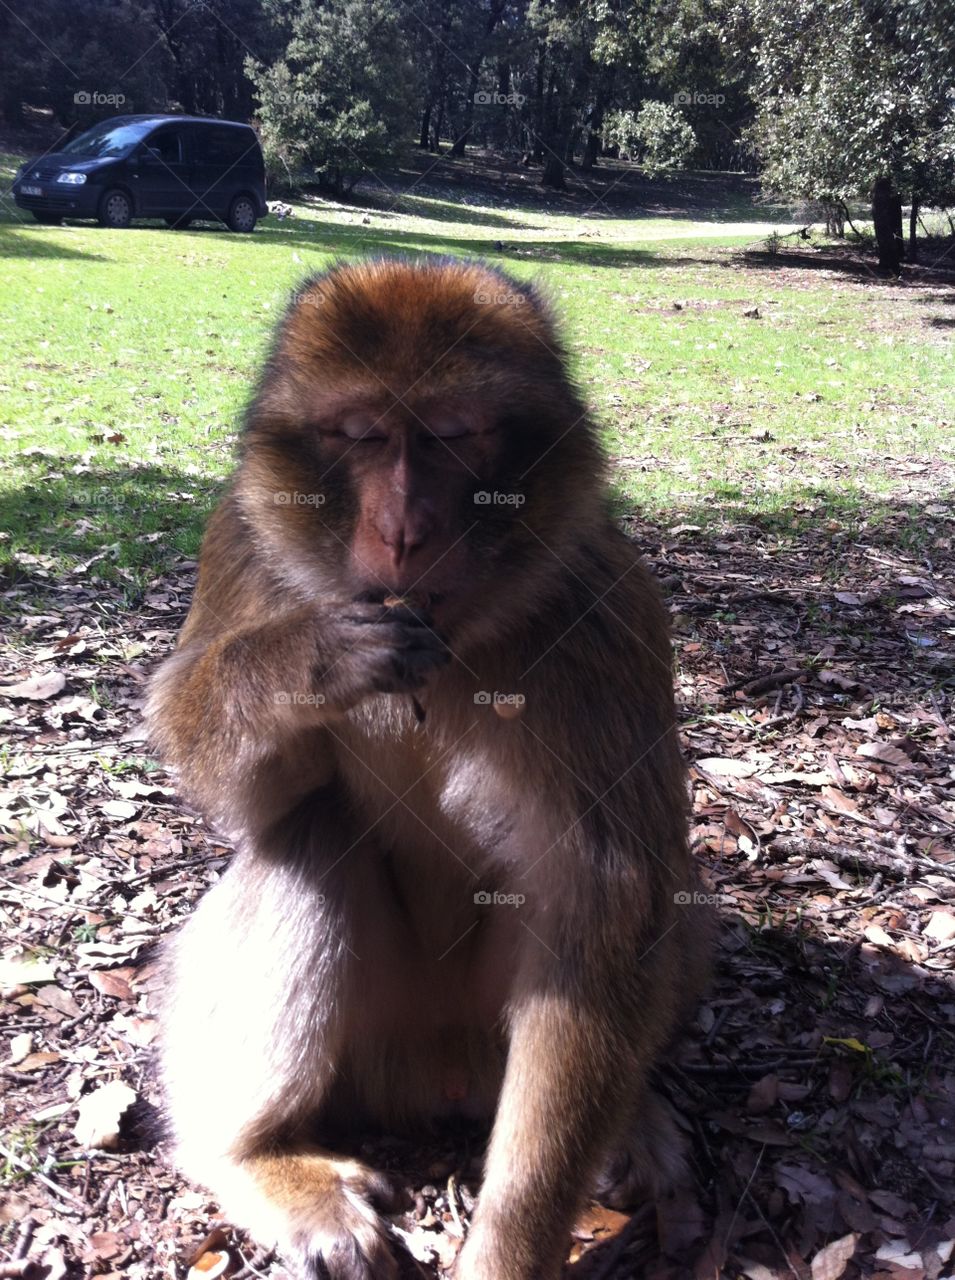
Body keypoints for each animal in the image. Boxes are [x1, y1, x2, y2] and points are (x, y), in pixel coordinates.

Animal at [146, 256, 713, 1280]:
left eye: (453, 435)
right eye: (362, 435)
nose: (403, 529)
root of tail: (440, 1079)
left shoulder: (598, 606)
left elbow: (605, 896)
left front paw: (510, 1245)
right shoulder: (242, 544)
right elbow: (245, 794)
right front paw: (305, 660)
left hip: (488, 1037)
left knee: (649, 902)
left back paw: (631, 1126)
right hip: (373, 1048)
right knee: (313, 836)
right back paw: (258, 1159)